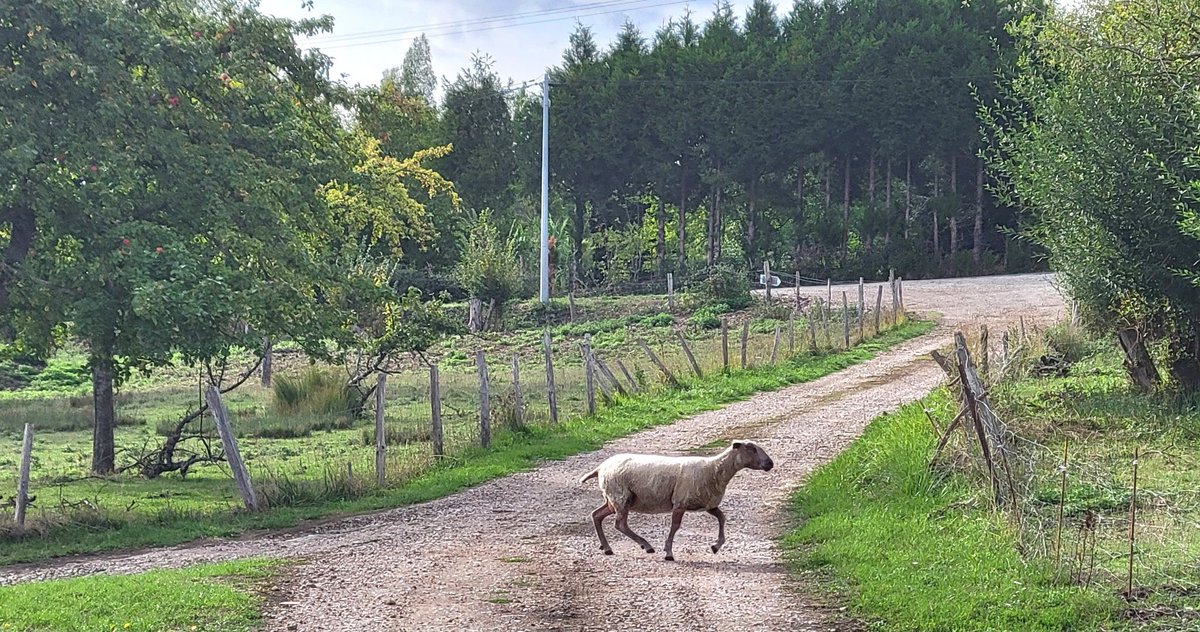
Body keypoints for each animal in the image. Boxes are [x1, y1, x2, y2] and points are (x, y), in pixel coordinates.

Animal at [579, 440, 774, 561]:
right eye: (751, 448)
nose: (770, 464)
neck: (714, 469)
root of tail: (601, 467)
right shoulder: (680, 503)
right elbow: (675, 527)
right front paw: (669, 553)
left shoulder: (708, 504)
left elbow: (722, 518)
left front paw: (716, 546)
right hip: (621, 497)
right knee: (620, 524)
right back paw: (646, 545)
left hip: (613, 499)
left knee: (596, 515)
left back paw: (607, 548)